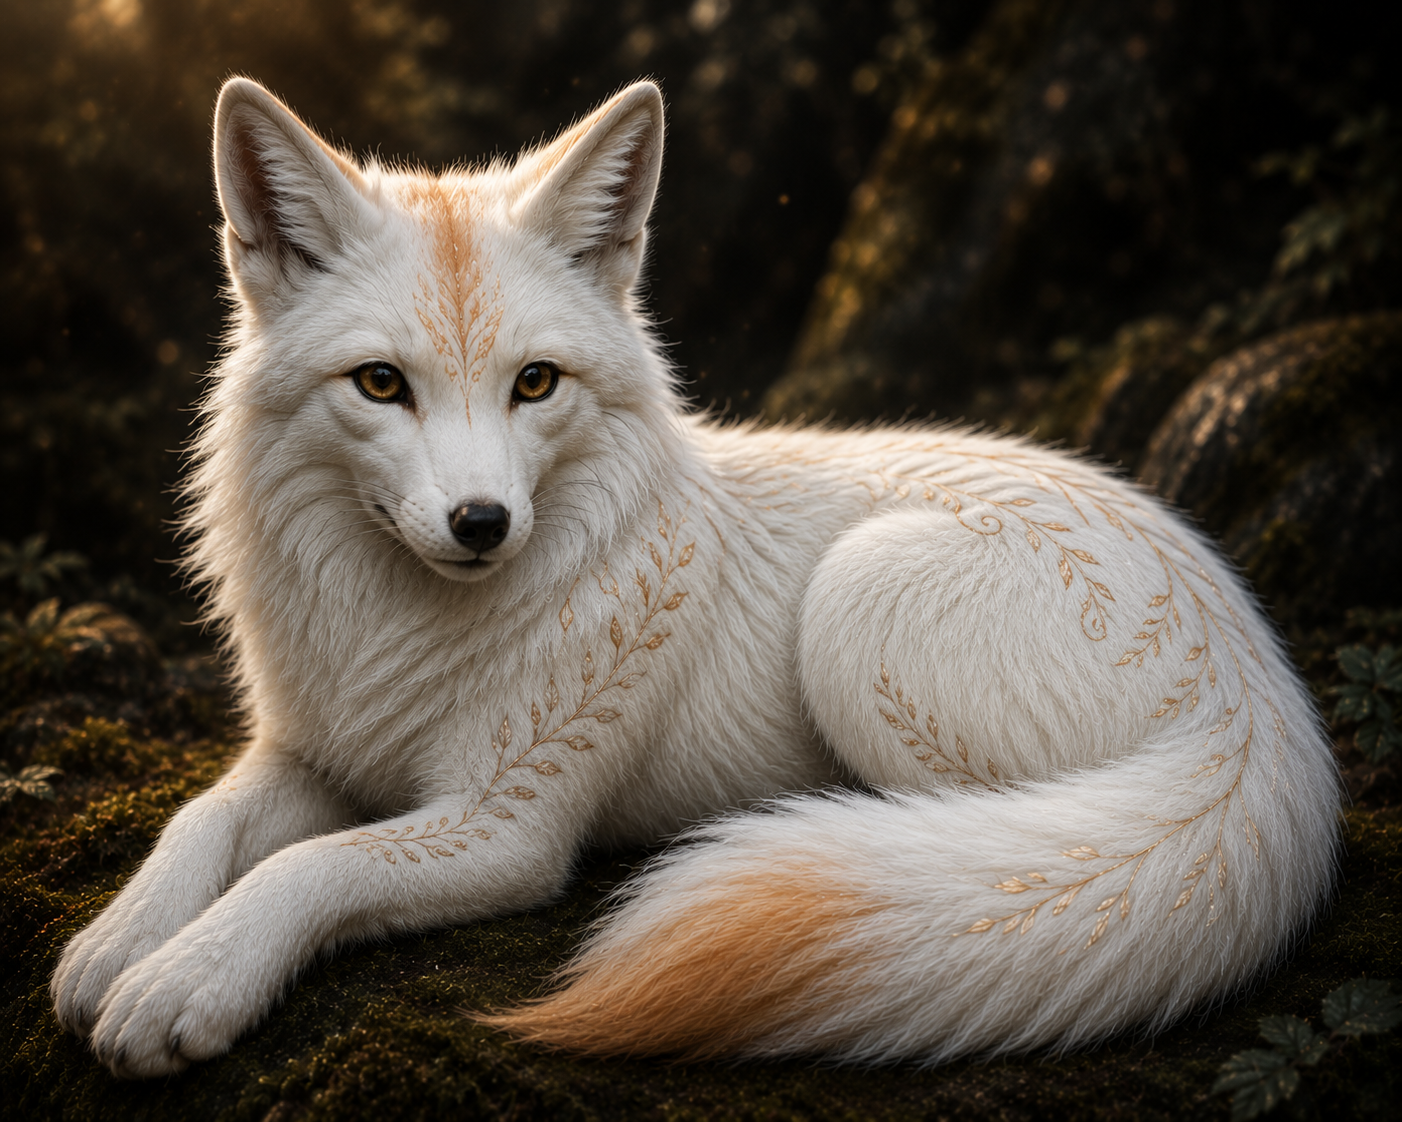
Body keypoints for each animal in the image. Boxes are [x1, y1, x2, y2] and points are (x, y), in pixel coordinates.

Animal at [50, 76, 1340, 1079]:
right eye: (380, 385)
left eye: (533, 383)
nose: (481, 524)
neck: (394, 633)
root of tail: (1262, 688)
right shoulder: (315, 753)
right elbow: (202, 822)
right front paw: (121, 941)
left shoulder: (504, 829)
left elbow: (307, 869)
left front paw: (191, 977)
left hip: (857, 604)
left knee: (988, 838)